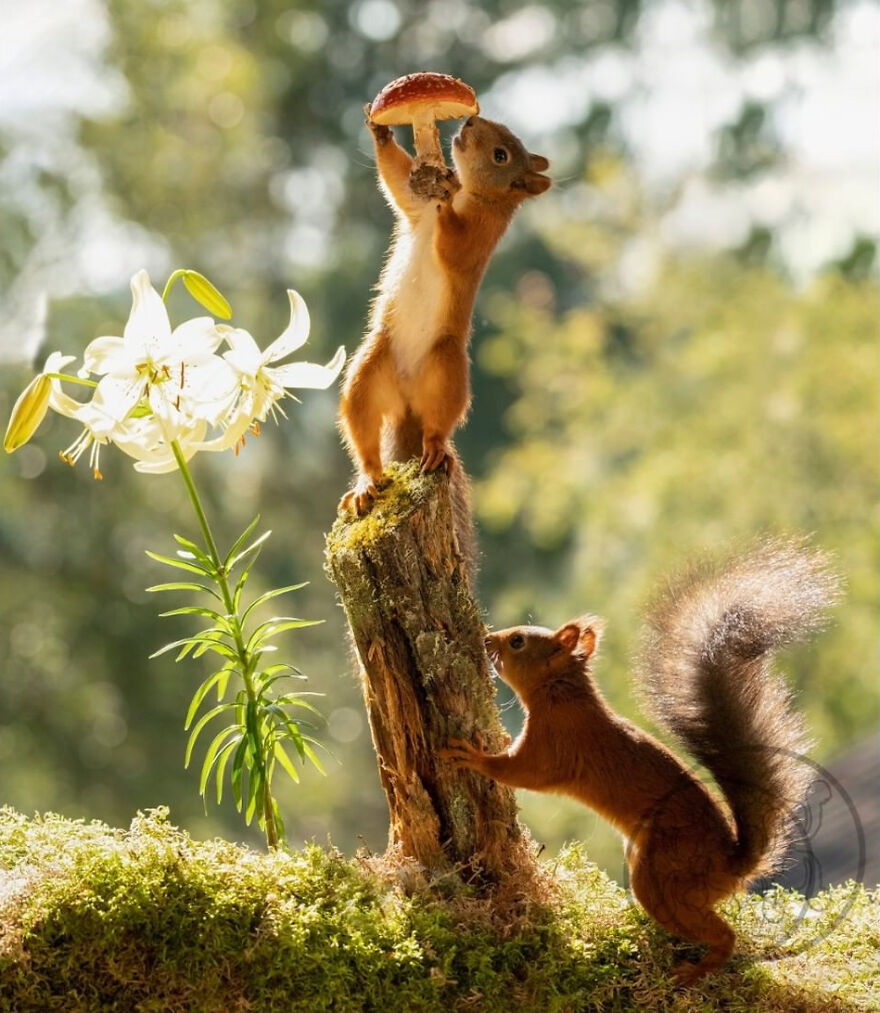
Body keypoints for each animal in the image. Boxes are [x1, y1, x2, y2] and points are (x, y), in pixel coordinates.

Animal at [338, 112, 551, 558]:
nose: (470, 120)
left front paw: (448, 194)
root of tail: (407, 405)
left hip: (446, 369)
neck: (478, 195)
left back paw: (434, 448)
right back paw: (367, 483)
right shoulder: (415, 206)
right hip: (369, 370)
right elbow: (398, 181)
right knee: (364, 433)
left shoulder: (478, 238)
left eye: (501, 155)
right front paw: (380, 132)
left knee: (439, 423)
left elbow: (454, 243)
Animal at [440, 541, 840, 984]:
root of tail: (731, 868)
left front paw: (471, 756)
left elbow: (522, 773)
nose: (486, 637)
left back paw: (697, 968)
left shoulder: (556, 745)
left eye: (517, 642)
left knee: (722, 933)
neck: (560, 694)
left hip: (662, 876)